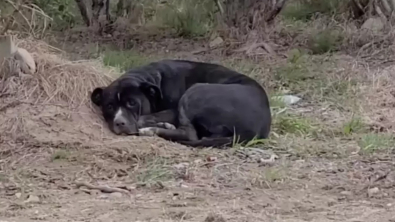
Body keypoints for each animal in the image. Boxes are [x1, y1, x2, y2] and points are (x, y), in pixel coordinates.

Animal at [91, 59, 270, 148]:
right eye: (109, 106)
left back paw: (151, 130)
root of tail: (257, 130)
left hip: (195, 90)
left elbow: (146, 117)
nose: (119, 122)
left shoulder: (173, 110)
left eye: (132, 103)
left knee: (189, 133)